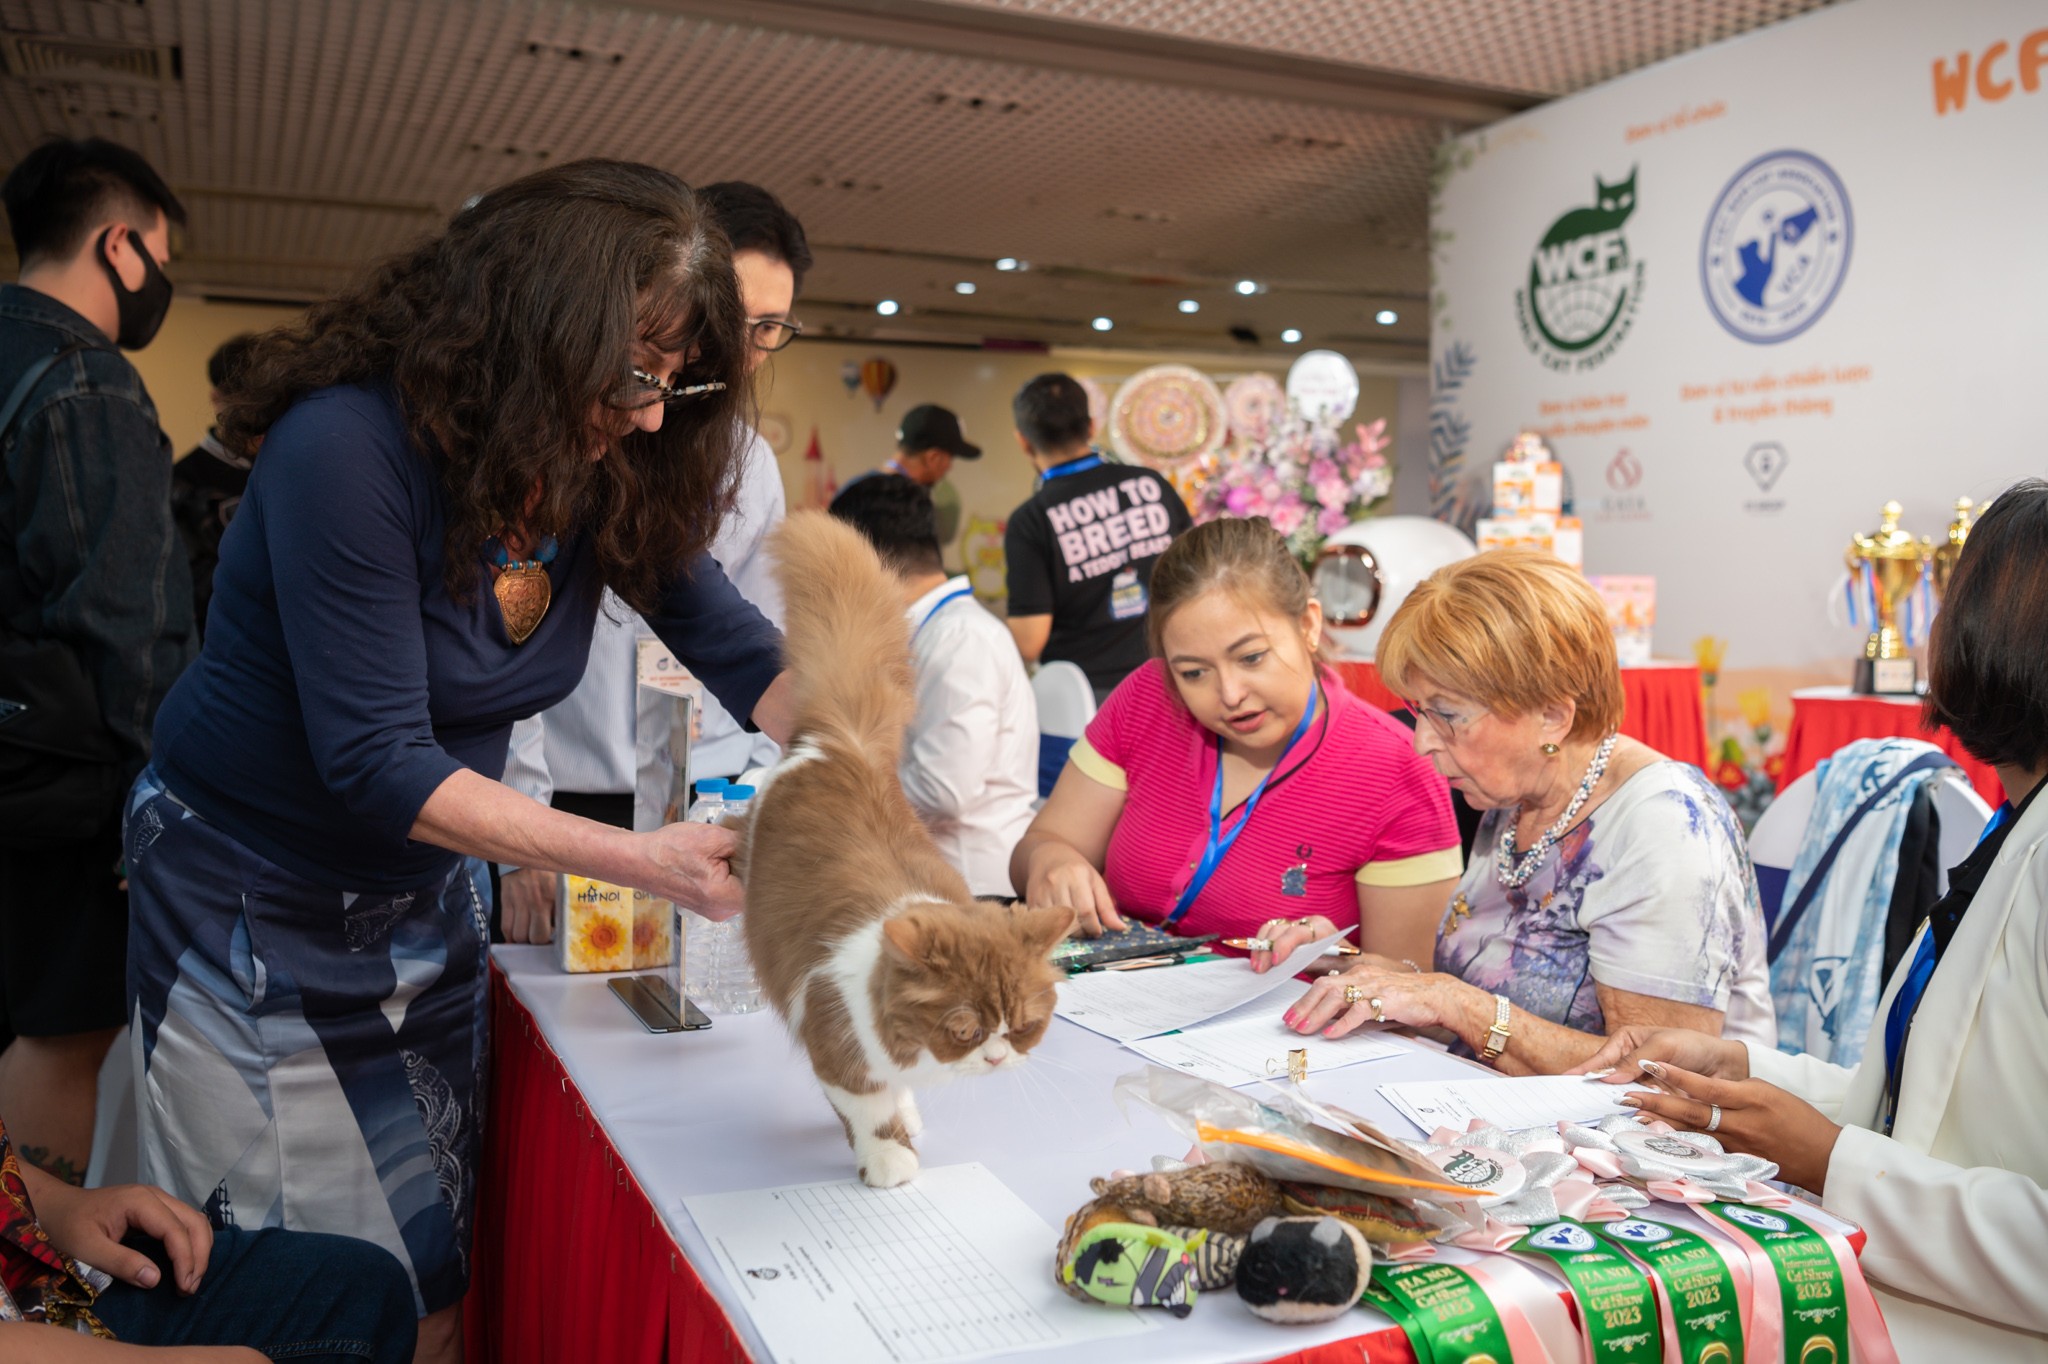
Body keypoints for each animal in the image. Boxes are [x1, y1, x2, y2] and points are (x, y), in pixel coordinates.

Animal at [741, 509, 1073, 1179]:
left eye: (1023, 1027)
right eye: (966, 1031)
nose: (996, 1059)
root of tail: (840, 738)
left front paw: (909, 1116)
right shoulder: (834, 1038)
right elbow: (869, 1108)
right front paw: (891, 1160)